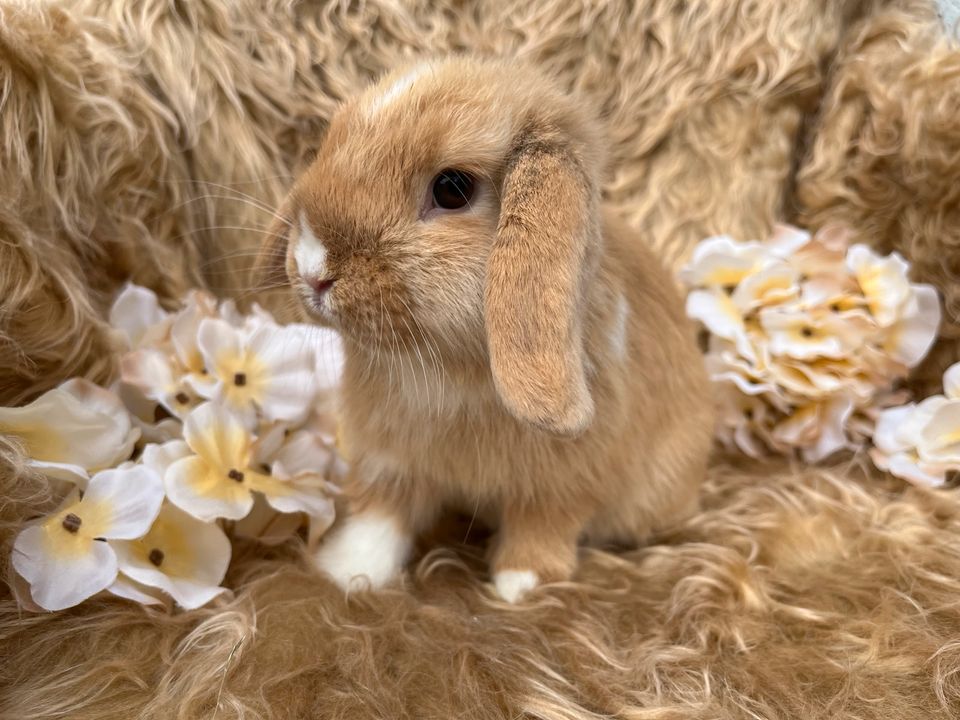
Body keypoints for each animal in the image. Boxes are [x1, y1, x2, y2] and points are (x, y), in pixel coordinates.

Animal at [255, 56, 712, 600]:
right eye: (330, 144)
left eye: (452, 189)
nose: (311, 268)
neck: (453, 367)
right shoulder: (389, 459)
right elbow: (379, 517)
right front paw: (346, 573)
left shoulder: (564, 480)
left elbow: (543, 523)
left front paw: (522, 586)